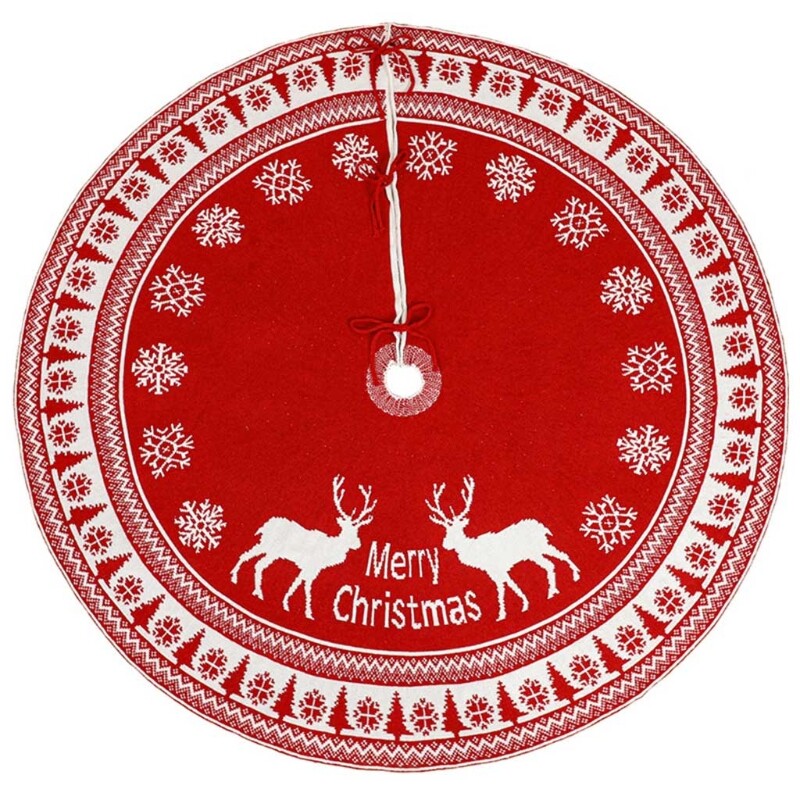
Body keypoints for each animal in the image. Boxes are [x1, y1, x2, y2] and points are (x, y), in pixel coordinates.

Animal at [230, 475, 376, 620]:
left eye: (357, 531)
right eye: (348, 531)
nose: (358, 544)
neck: (330, 551)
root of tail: (264, 526)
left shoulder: (305, 568)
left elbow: (296, 582)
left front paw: (285, 603)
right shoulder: (312, 567)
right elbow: (306, 588)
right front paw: (308, 613)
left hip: (265, 546)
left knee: (249, 557)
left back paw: (239, 580)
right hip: (271, 549)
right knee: (257, 563)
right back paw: (252, 588)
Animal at [425, 476, 580, 621]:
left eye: (455, 532)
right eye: (446, 531)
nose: (444, 544)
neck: (474, 551)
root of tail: (543, 527)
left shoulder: (496, 570)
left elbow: (502, 590)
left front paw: (503, 614)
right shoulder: (500, 571)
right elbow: (512, 584)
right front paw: (524, 604)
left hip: (540, 548)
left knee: (558, 558)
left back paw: (572, 577)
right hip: (537, 552)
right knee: (552, 563)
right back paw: (555, 590)